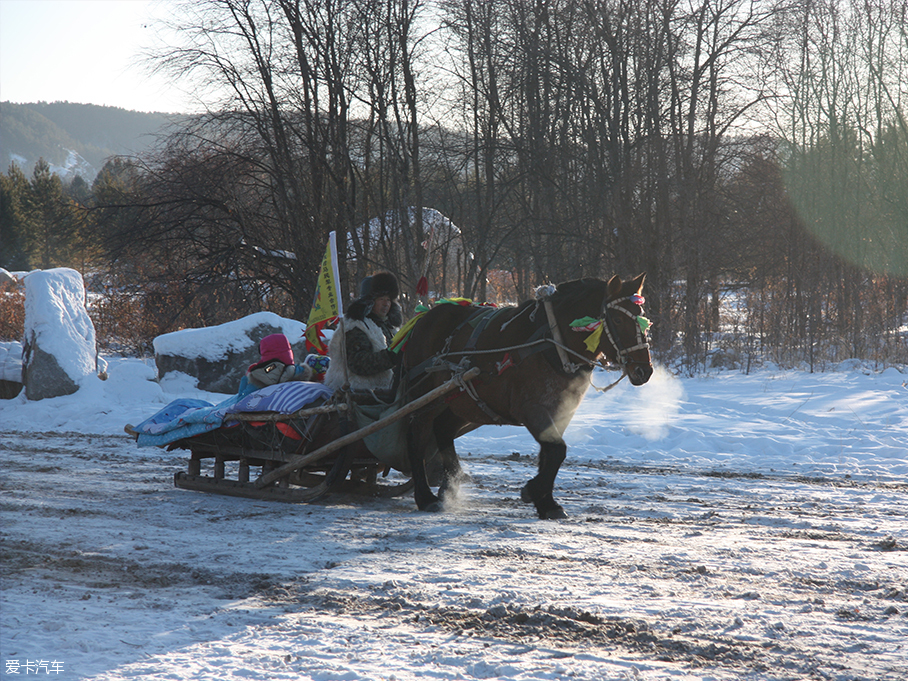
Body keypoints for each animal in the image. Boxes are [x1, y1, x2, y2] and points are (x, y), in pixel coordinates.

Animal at [400, 274, 656, 516]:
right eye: (619, 319)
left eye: (643, 319)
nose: (644, 370)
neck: (553, 344)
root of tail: (424, 318)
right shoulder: (530, 408)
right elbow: (557, 450)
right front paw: (533, 491)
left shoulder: (561, 409)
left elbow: (550, 454)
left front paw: (546, 502)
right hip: (425, 396)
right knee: (417, 437)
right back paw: (425, 496)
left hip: (460, 401)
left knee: (443, 430)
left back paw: (450, 486)